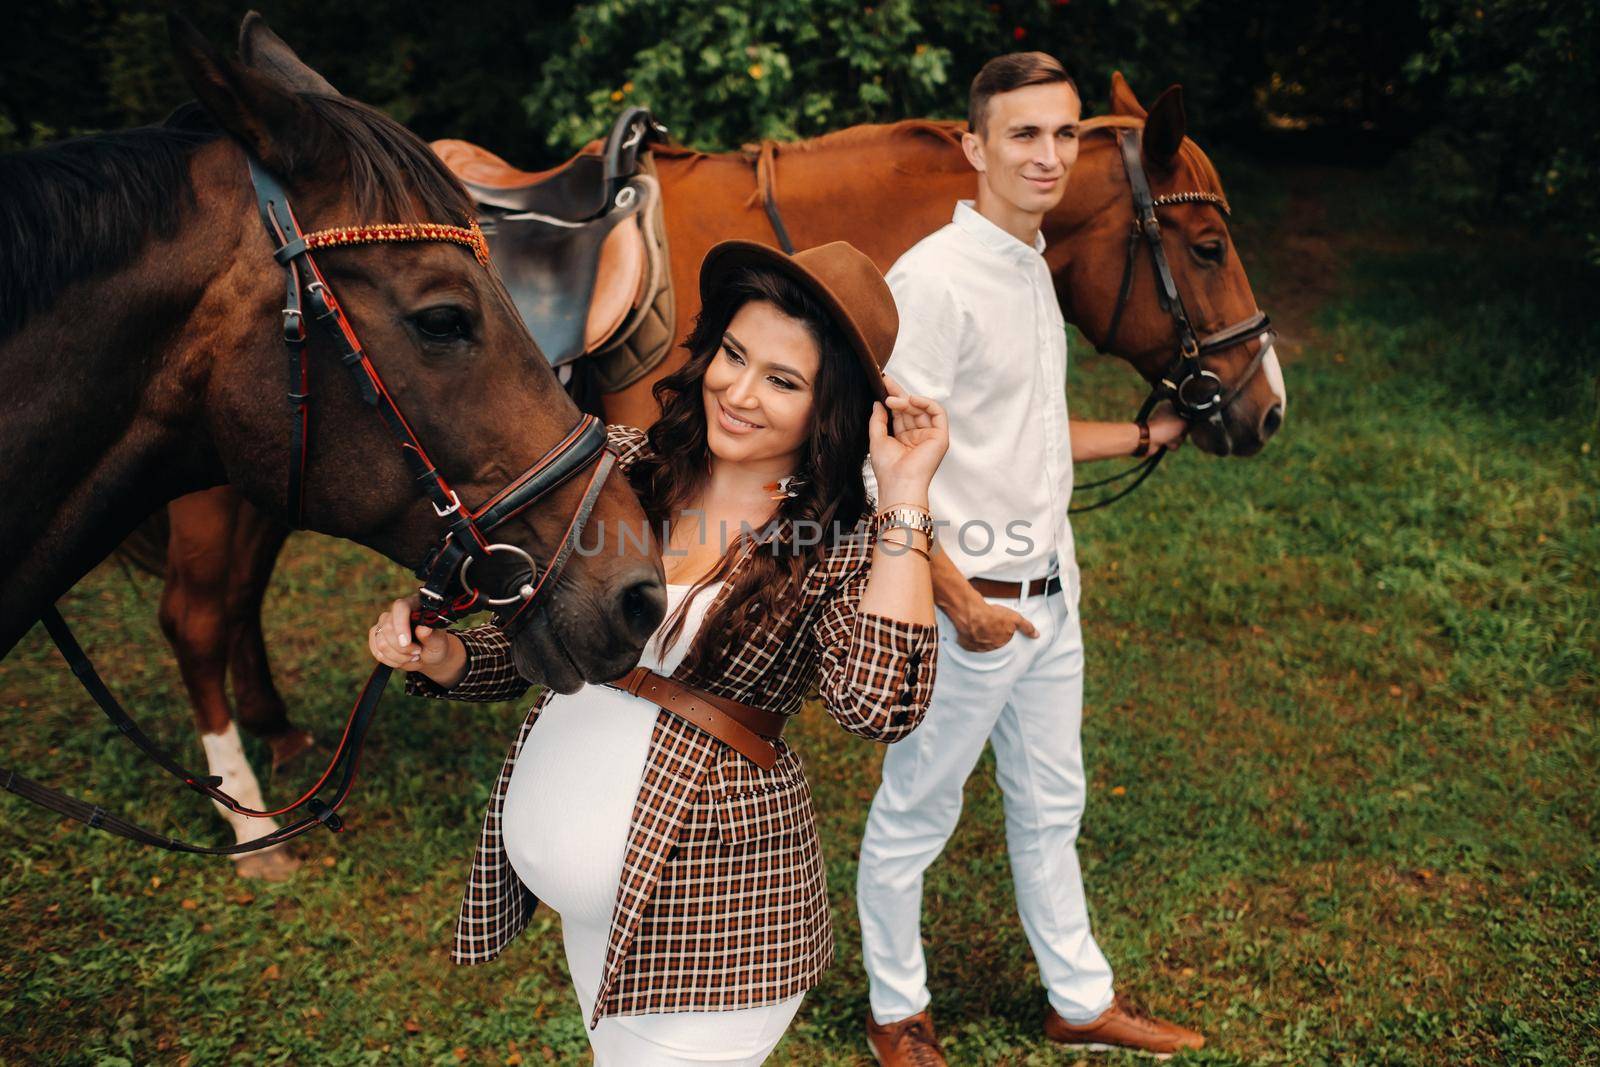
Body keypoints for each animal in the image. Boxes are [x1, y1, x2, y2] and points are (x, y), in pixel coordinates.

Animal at [124, 68, 1280, 876]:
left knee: (237, 603)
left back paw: (280, 735)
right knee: (196, 615)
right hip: (217, 486)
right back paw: (252, 826)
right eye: (1208, 243)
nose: (1261, 406)